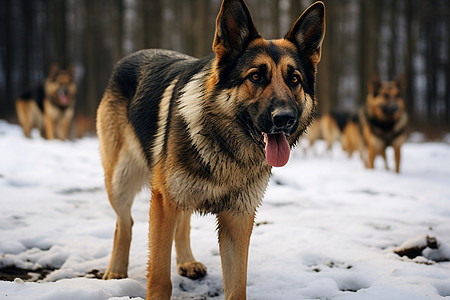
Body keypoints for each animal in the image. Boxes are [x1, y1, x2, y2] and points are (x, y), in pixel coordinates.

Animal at [96, 0, 326, 300]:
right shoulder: (163, 204)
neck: (224, 147)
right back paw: (115, 270)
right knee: (124, 222)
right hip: (121, 180)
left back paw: (186, 261)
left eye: (295, 80)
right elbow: (159, 277)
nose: (285, 119)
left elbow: (237, 286)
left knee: (181, 222)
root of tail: (129, 57)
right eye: (255, 77)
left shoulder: (238, 219)